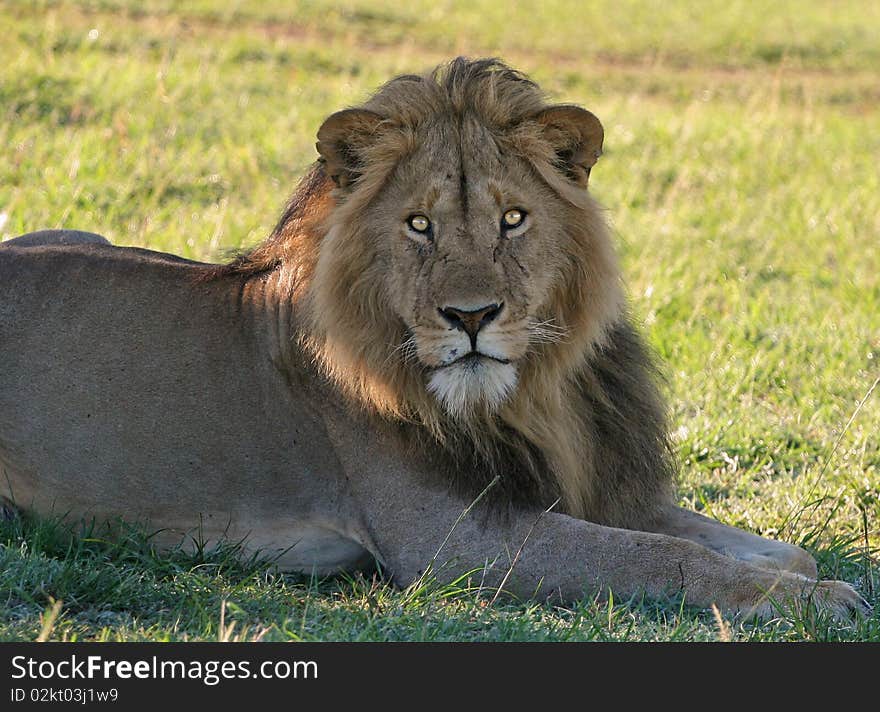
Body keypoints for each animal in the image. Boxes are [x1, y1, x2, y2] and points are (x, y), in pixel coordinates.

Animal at [0, 58, 868, 620]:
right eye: (419, 225)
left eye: (512, 218)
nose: (472, 316)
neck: (532, 395)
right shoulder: (451, 538)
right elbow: (661, 557)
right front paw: (818, 603)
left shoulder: (580, 488)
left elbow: (774, 547)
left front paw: (806, 580)